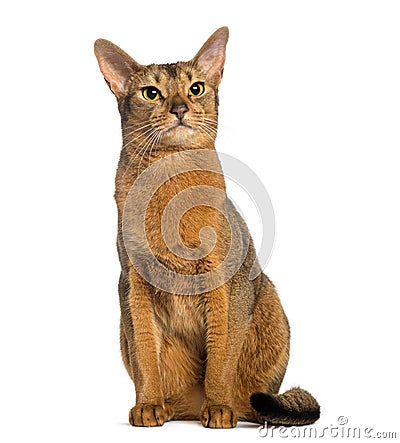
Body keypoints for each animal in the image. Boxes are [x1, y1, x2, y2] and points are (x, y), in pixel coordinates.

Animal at [93, 26, 318, 428]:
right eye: (151, 93)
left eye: (195, 88)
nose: (180, 108)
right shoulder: (132, 284)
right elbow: (145, 352)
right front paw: (147, 404)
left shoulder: (227, 283)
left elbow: (221, 355)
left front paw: (217, 407)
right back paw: (167, 406)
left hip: (267, 296)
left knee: (252, 397)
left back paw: (231, 408)